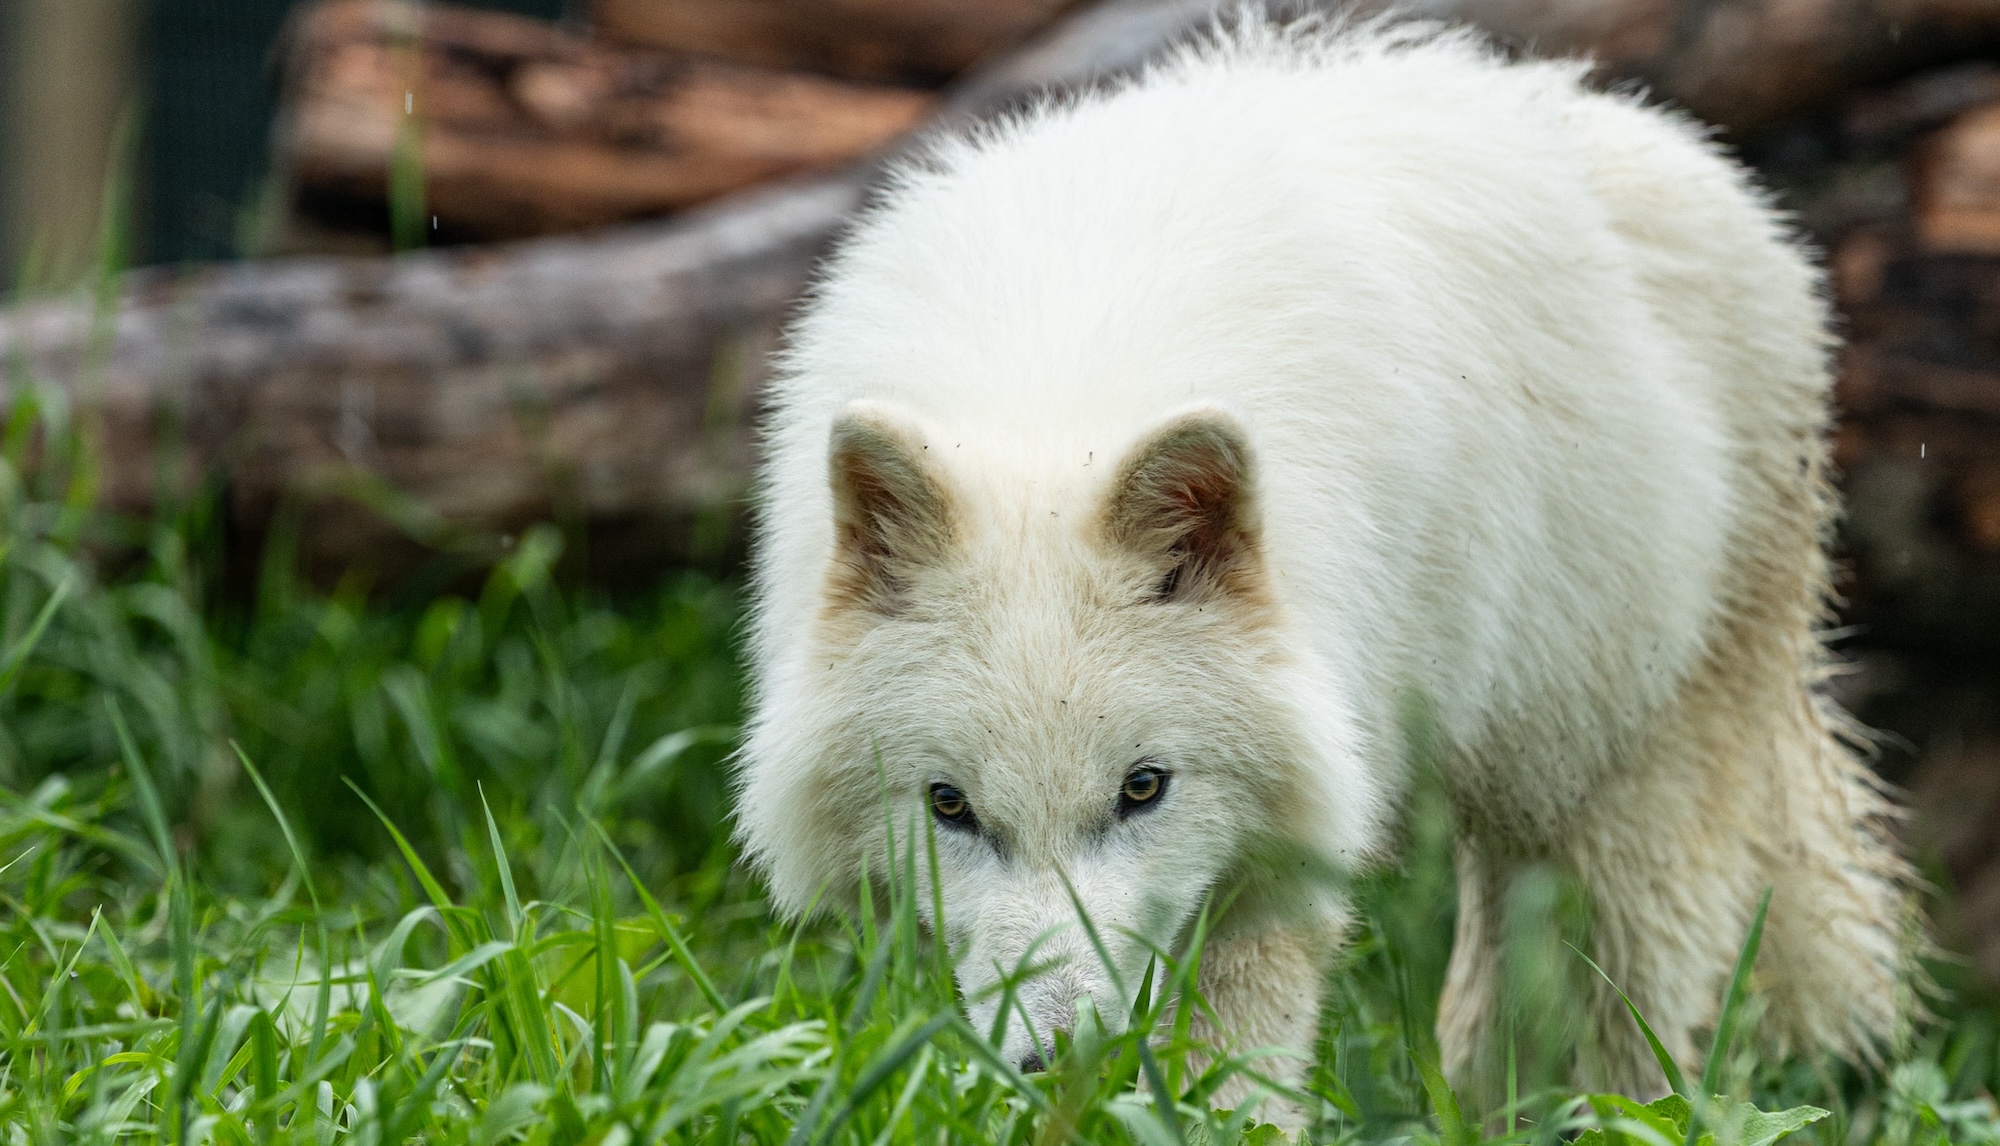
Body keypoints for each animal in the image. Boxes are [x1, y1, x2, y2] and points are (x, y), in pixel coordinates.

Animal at [735, 16, 1913, 1108]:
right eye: (951, 807)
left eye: (1143, 788)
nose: (1061, 1056)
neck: (1054, 394)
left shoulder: (1279, 857)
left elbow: (1238, 1066)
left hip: (1614, 780)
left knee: (1624, 1009)